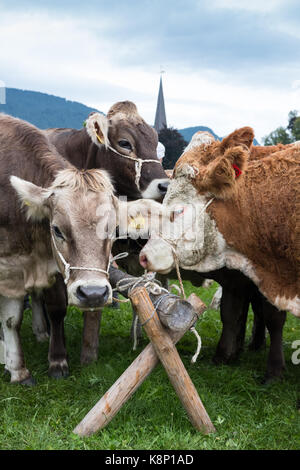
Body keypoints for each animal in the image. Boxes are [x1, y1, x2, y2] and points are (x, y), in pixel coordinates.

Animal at [0, 113, 127, 382]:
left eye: (112, 229)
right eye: (57, 229)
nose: (93, 294)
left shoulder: (18, 269)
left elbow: (11, 319)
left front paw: (17, 369)